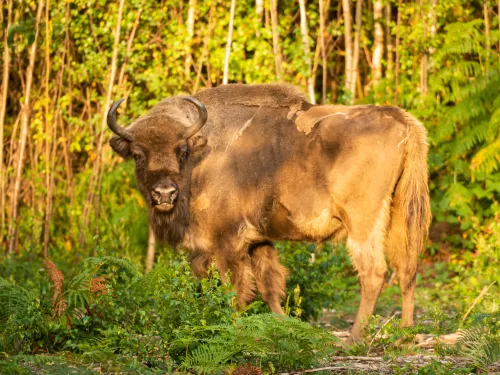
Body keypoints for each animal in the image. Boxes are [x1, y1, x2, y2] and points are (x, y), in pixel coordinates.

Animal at [108, 83, 430, 342]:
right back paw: (405, 334)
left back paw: (352, 340)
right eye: (138, 154)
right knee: (407, 269)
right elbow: (269, 285)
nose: (164, 194)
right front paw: (284, 325)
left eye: (182, 151)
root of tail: (403, 120)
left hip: (363, 223)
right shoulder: (258, 240)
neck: (203, 154)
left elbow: (234, 290)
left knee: (374, 273)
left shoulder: (226, 242)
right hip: (400, 213)